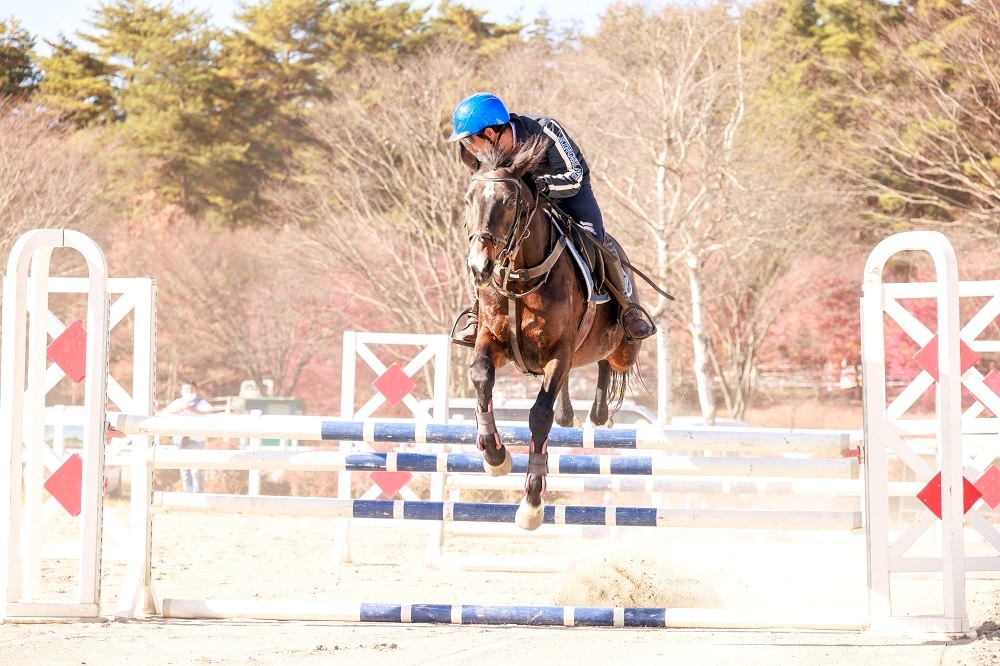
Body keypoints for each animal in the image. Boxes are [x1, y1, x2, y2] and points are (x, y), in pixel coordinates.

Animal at [458, 136, 644, 528]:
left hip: (623, 348)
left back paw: (598, 413)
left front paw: (532, 503)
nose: (479, 267)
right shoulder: (492, 340)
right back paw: (571, 413)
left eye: (509, 202)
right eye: (469, 198)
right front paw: (495, 456)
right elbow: (481, 377)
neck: (520, 277)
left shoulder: (559, 352)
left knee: (608, 363)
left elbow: (539, 417)